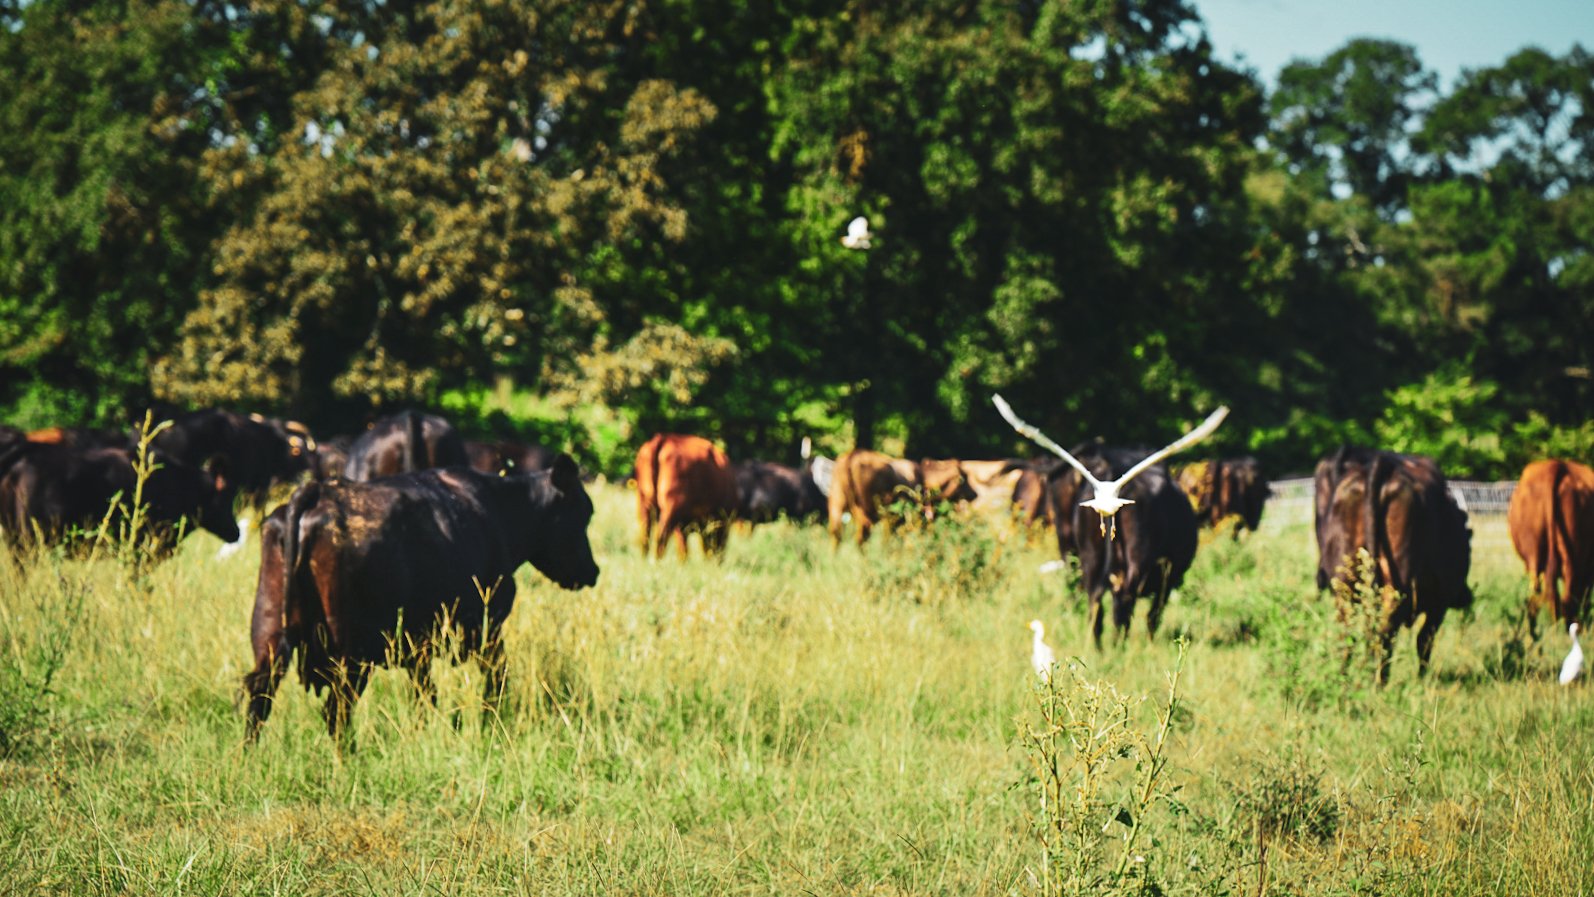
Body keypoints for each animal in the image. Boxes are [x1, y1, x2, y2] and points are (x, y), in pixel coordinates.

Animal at [242, 455, 599, 745]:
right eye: (583, 514)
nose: (593, 570)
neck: (500, 513)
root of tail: (316, 493)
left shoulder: (419, 646)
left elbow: (425, 695)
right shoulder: (486, 627)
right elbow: (496, 680)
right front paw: (492, 724)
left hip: (271, 637)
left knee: (259, 700)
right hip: (352, 656)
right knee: (336, 712)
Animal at [1045, 446, 1198, 650]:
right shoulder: (1169, 578)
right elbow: (1153, 614)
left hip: (1087, 556)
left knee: (1093, 601)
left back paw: (1099, 648)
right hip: (1136, 560)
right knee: (1123, 600)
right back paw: (1118, 646)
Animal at [1313, 446, 1472, 685]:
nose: (1466, 597)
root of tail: (1380, 464)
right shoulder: (1439, 604)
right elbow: (1424, 641)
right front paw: (1422, 680)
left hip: (1344, 581)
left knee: (1347, 630)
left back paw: (1343, 677)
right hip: (1397, 582)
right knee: (1384, 631)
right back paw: (1379, 682)